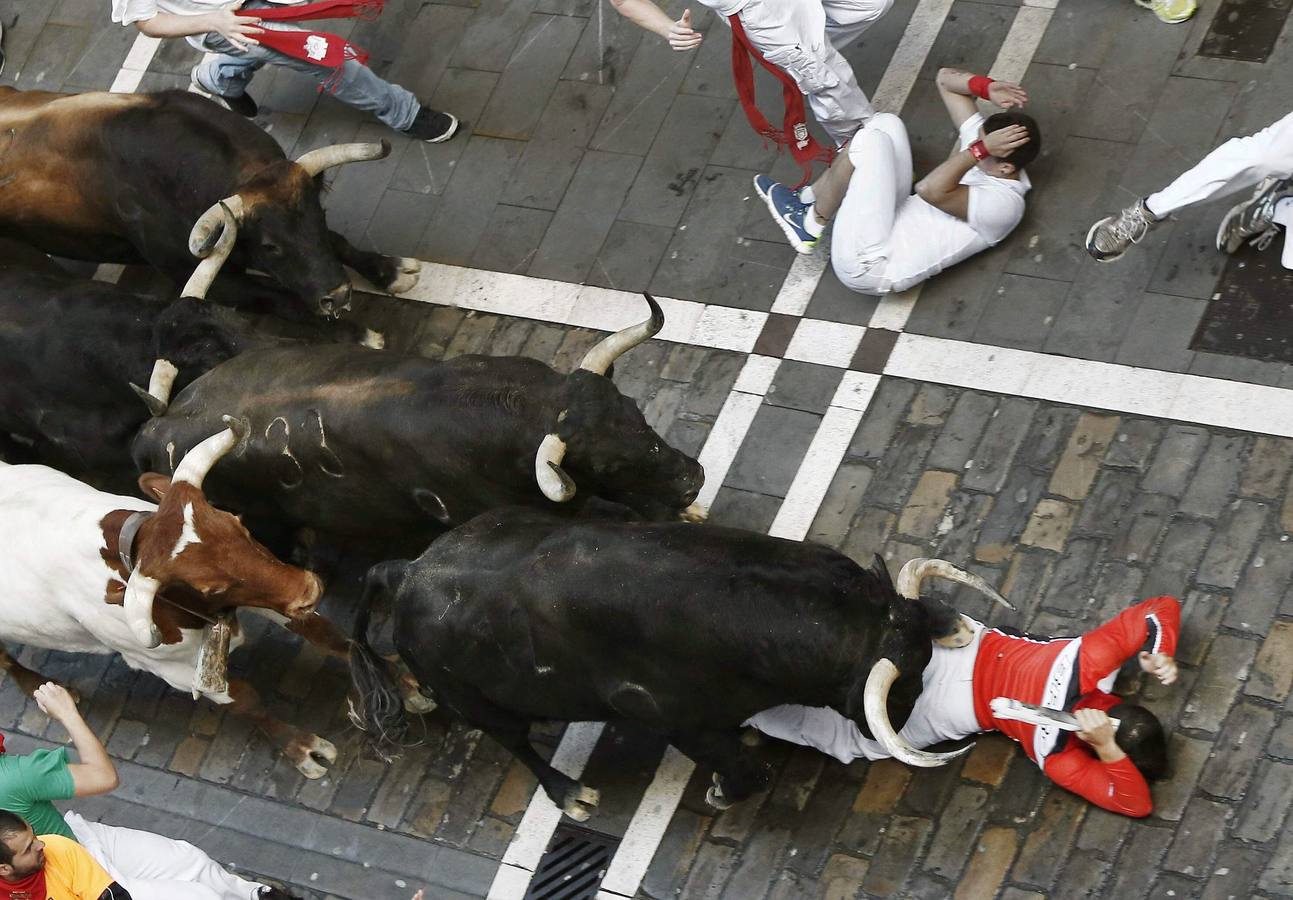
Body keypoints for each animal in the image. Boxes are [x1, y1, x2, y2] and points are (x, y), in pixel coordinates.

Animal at [349, 509, 1013, 817]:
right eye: (902, 690)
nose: (904, 724)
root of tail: (406, 571)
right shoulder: (678, 722)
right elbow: (745, 771)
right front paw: (722, 790)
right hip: (475, 701)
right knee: (514, 743)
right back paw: (571, 794)